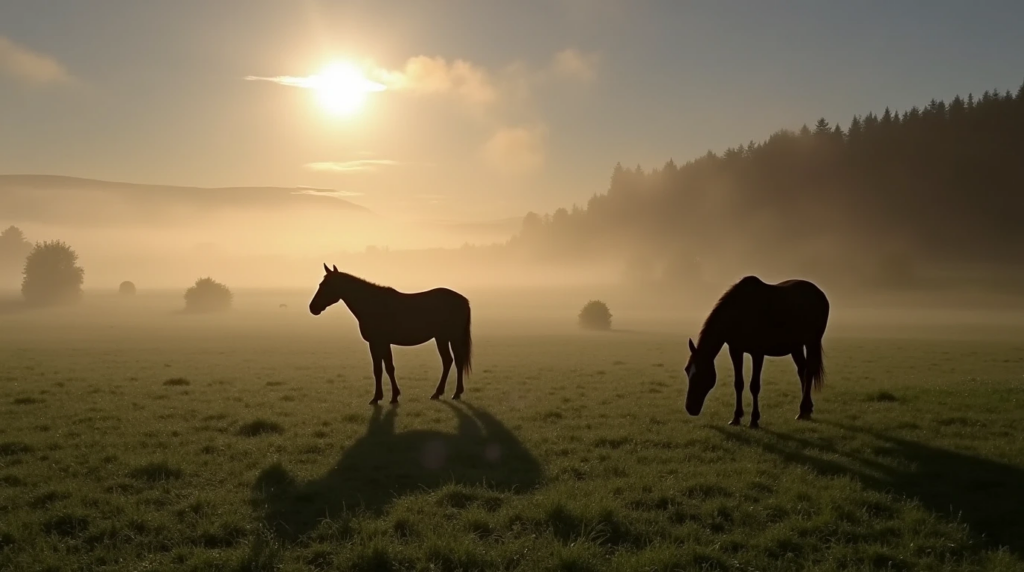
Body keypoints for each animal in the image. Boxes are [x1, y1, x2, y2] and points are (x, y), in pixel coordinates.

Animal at [307, 266, 475, 405]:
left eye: (325, 285)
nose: (312, 308)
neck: (371, 304)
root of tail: (463, 300)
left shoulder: (380, 342)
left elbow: (387, 368)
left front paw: (392, 397)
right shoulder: (376, 344)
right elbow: (379, 369)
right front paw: (379, 397)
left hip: (452, 337)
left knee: (456, 361)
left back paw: (454, 393)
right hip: (442, 338)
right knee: (450, 361)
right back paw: (440, 393)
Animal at [684, 276, 827, 427]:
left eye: (702, 373)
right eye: (687, 370)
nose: (690, 408)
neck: (739, 313)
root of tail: (820, 293)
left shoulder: (758, 353)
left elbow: (754, 386)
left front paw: (754, 419)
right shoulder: (735, 351)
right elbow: (738, 383)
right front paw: (736, 417)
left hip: (811, 342)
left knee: (809, 371)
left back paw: (803, 409)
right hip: (796, 346)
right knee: (802, 370)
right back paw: (806, 410)